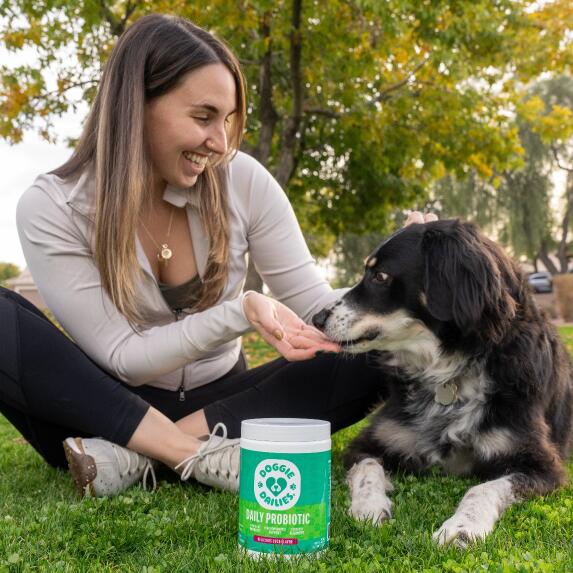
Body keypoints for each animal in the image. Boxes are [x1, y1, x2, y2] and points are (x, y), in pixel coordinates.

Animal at [312, 218, 572, 544]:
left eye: (380, 276)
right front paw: (369, 506)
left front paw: (462, 527)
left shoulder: (541, 464)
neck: (448, 369)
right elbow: (367, 468)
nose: (316, 319)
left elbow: (484, 487)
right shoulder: (371, 442)